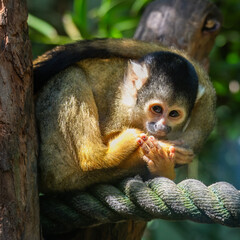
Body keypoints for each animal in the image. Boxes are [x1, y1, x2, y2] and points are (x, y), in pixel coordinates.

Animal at [33, 39, 216, 193]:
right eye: (157, 109)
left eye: (174, 114)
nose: (161, 127)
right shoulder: (121, 107)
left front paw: (164, 162)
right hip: (56, 159)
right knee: (71, 74)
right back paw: (99, 156)